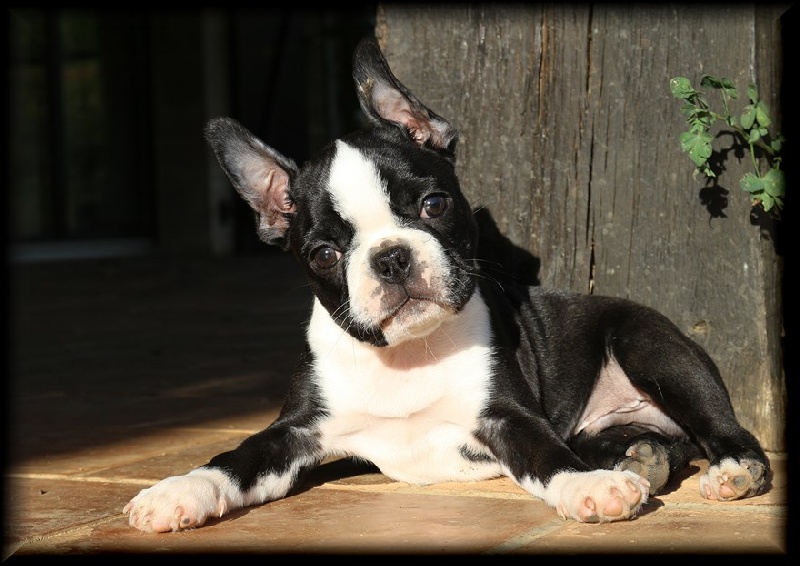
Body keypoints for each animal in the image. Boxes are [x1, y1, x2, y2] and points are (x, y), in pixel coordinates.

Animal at [124, 37, 770, 532]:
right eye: (324, 254)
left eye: (433, 205)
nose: (390, 258)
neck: (408, 356)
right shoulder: (296, 432)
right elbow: (236, 456)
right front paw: (178, 490)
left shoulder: (508, 417)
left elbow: (547, 454)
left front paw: (590, 489)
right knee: (652, 442)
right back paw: (640, 457)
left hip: (652, 347)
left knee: (723, 430)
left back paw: (727, 470)